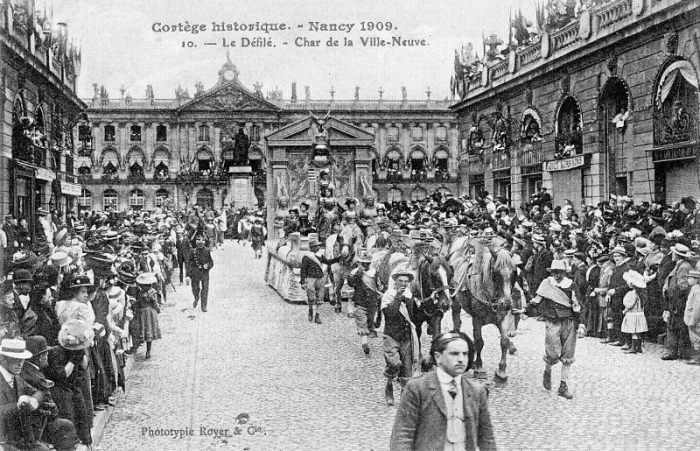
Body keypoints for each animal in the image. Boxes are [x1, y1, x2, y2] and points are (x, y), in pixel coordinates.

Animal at [452, 238, 516, 384]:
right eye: (496, 273)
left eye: (514, 272)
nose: (507, 303)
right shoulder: (477, 318)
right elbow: (479, 342)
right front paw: (479, 368)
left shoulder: (503, 316)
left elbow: (504, 341)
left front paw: (501, 372)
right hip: (455, 303)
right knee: (457, 322)